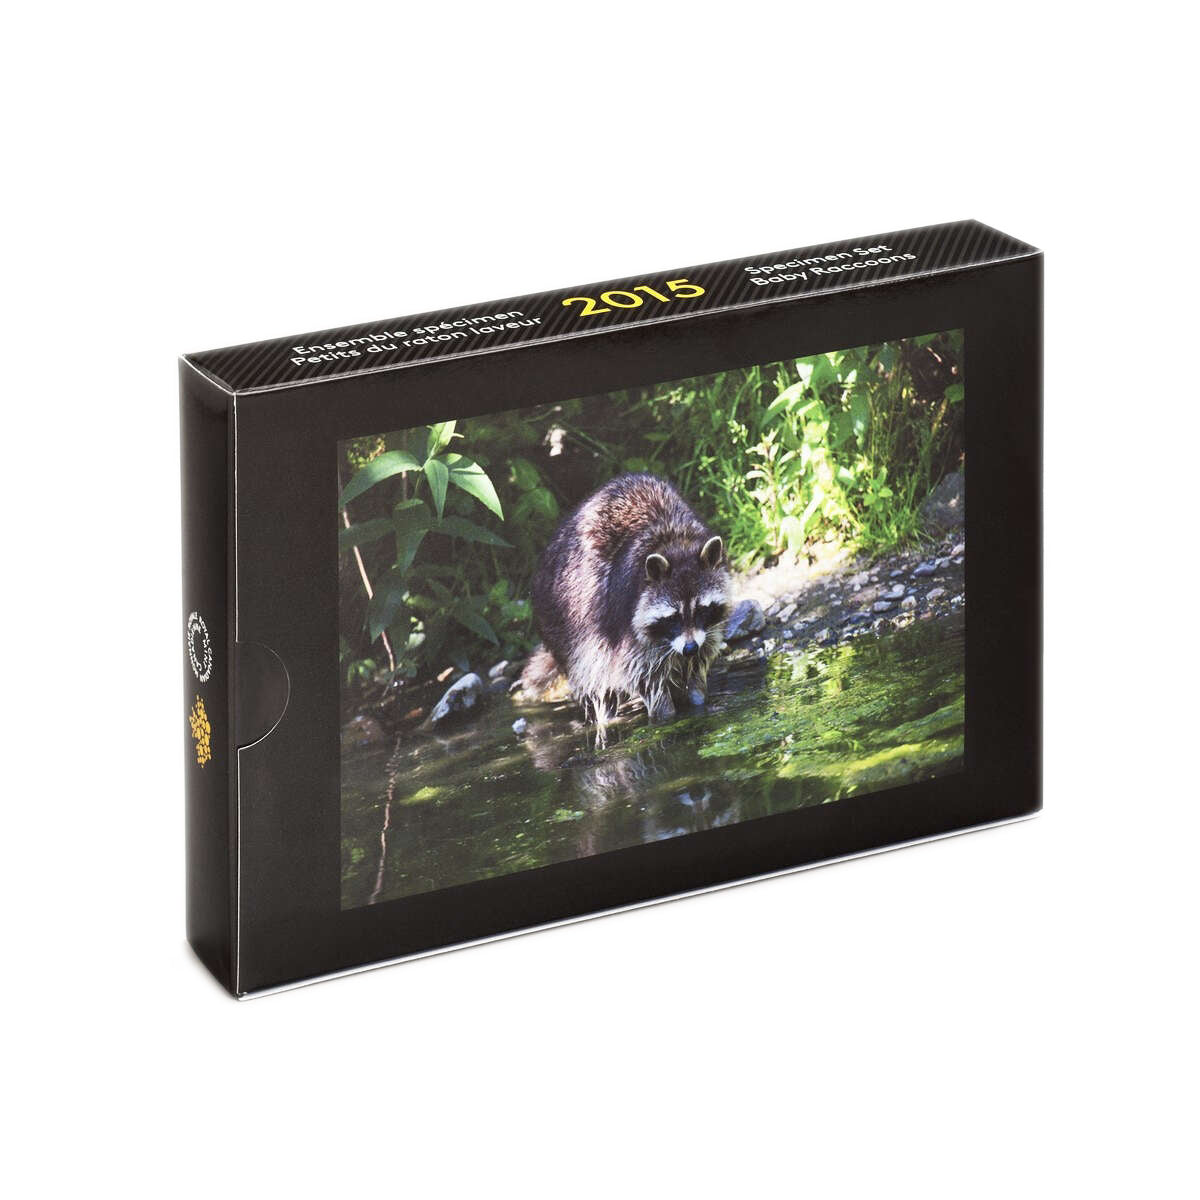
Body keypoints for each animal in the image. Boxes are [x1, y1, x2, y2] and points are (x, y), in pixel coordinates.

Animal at [524, 473, 731, 732]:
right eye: (672, 617)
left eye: (702, 609)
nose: (690, 648)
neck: (673, 541)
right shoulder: (627, 625)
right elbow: (645, 676)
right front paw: (665, 714)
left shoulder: (708, 630)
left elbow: (699, 663)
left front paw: (699, 701)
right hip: (567, 625)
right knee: (595, 679)